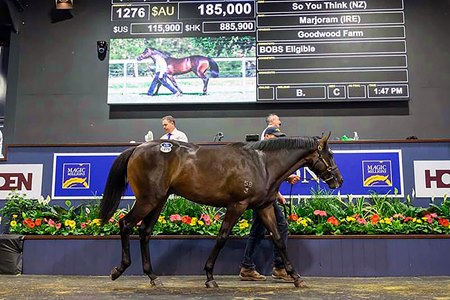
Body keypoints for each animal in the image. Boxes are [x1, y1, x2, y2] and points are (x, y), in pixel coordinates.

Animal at [100, 134, 342, 288]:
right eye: (329, 155)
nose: (338, 180)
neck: (262, 164)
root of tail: (138, 148)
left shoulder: (263, 207)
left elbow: (278, 239)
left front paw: (296, 277)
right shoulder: (237, 205)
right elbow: (222, 237)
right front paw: (209, 277)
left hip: (158, 201)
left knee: (145, 232)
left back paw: (153, 277)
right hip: (148, 200)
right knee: (125, 224)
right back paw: (119, 270)